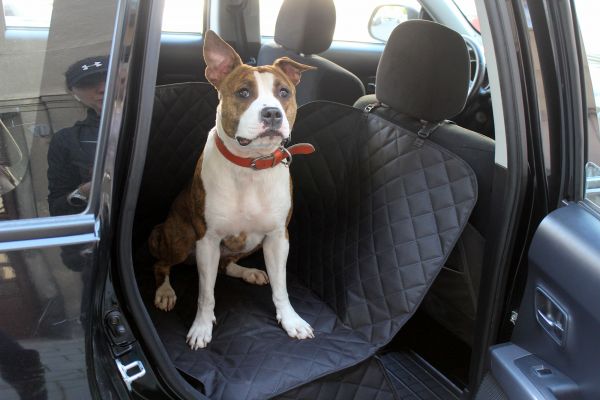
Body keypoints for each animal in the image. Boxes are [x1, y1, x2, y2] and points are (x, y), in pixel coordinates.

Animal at [148, 30, 316, 350]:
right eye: (243, 93)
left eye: (284, 92)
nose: (272, 113)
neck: (251, 166)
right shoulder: (208, 240)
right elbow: (206, 294)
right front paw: (201, 327)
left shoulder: (278, 238)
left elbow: (281, 287)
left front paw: (291, 320)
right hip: (179, 238)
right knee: (162, 264)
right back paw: (165, 292)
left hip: (253, 242)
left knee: (227, 265)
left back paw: (249, 271)